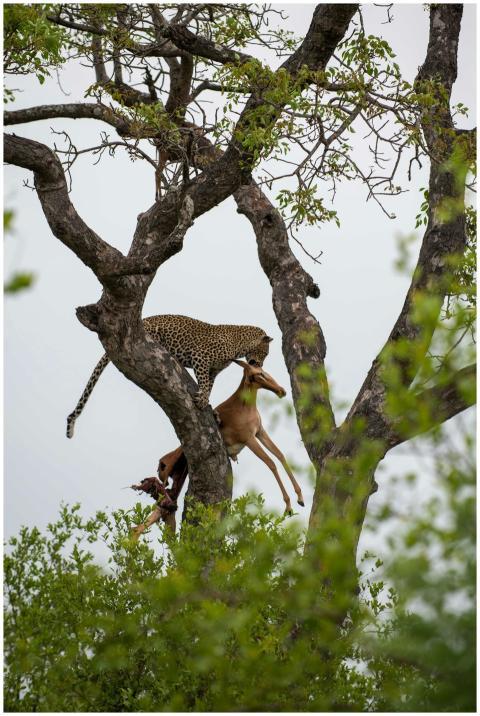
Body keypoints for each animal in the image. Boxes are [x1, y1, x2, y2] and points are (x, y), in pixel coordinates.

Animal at [66, 314, 272, 438]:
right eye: (266, 353)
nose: (260, 365)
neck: (240, 346)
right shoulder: (201, 358)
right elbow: (204, 384)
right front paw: (203, 400)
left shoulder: (213, 370)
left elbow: (209, 386)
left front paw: (210, 407)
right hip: (152, 332)